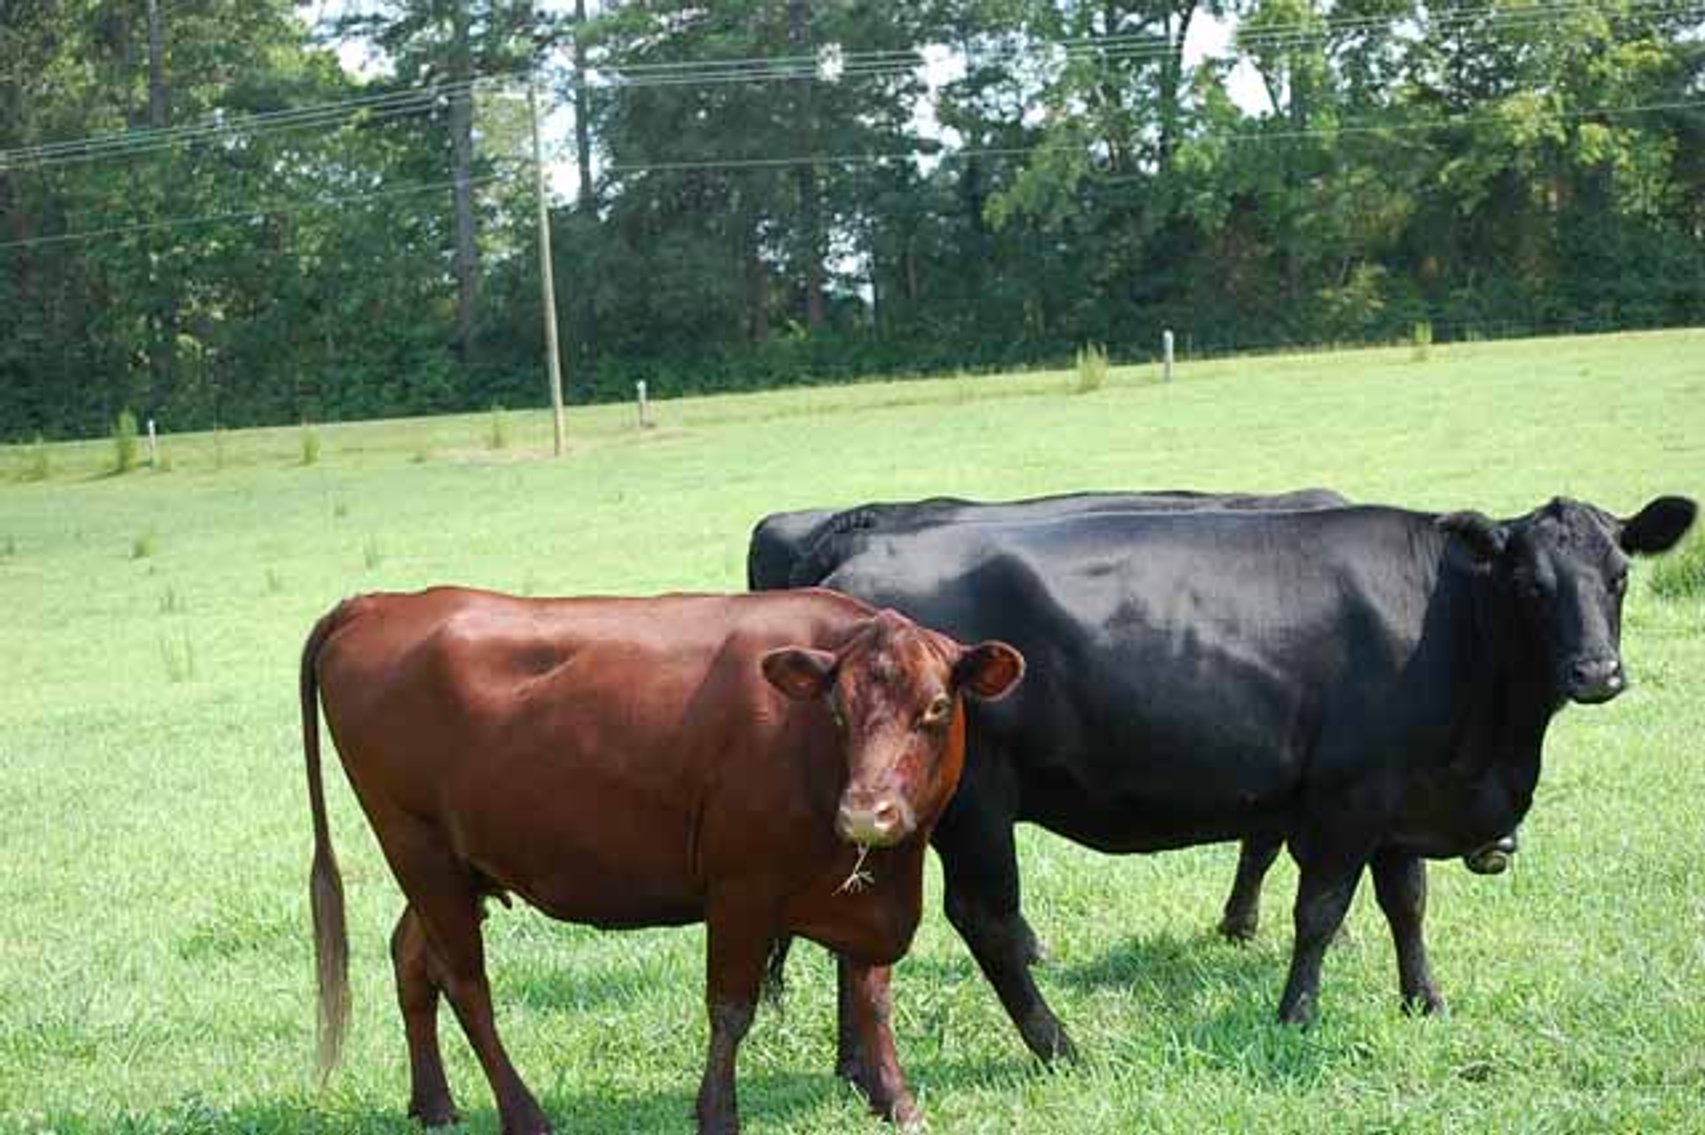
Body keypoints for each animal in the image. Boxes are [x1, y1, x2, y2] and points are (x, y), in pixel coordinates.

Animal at [300, 587, 1024, 1134]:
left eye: (935, 706)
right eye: (838, 711)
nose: (865, 812)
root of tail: (378, 602)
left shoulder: (866, 893)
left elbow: (871, 996)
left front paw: (897, 1101)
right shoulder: (741, 887)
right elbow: (731, 1008)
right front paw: (717, 1115)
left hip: (451, 861)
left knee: (411, 959)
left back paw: (435, 1104)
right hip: (417, 848)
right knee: (466, 982)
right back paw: (524, 1114)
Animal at [805, 494, 1695, 1067]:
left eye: (1618, 574)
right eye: (1529, 584)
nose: (1596, 671)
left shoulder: (1398, 793)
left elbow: (1405, 901)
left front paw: (1424, 998)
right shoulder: (1346, 797)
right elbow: (1320, 912)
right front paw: (1296, 1013)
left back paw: (856, 1067)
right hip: (976, 802)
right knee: (985, 919)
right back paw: (1057, 1045)